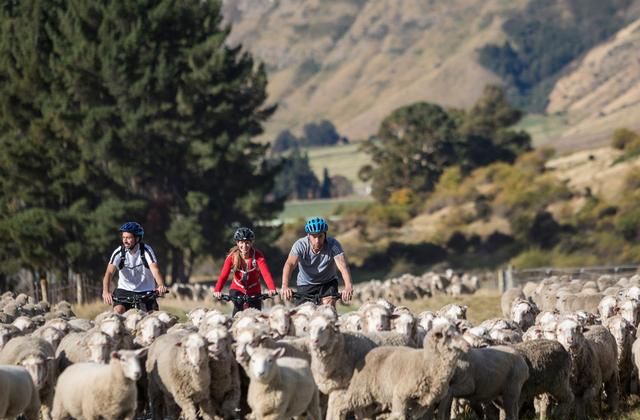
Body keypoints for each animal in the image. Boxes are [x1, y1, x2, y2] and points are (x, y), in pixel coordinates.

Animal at [330, 320, 470, 418]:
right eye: (449, 335)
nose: (468, 346)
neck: (427, 362)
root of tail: (367, 354)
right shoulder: (401, 394)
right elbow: (398, 416)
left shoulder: (423, 403)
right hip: (360, 390)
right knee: (339, 405)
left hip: (370, 397)